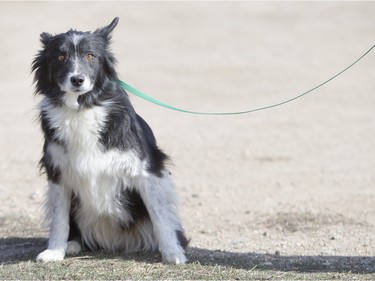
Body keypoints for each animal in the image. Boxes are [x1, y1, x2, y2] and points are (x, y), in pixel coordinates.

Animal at [32, 17, 189, 262]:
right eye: (60, 57)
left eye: (90, 56)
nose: (77, 80)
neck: (82, 108)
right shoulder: (57, 173)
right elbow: (60, 219)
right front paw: (55, 251)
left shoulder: (146, 171)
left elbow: (160, 216)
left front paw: (173, 253)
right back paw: (73, 244)